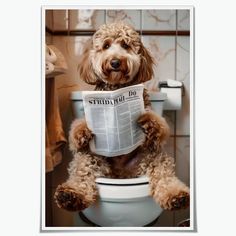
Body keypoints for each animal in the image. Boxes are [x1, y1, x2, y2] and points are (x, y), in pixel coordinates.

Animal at [54, 22, 189, 212]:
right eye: (106, 46)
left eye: (125, 45)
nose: (115, 62)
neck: (116, 87)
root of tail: (121, 176)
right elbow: (77, 128)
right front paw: (82, 131)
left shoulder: (152, 133)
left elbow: (159, 126)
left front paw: (150, 124)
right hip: (91, 157)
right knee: (82, 174)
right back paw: (70, 195)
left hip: (152, 157)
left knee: (164, 175)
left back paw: (177, 196)